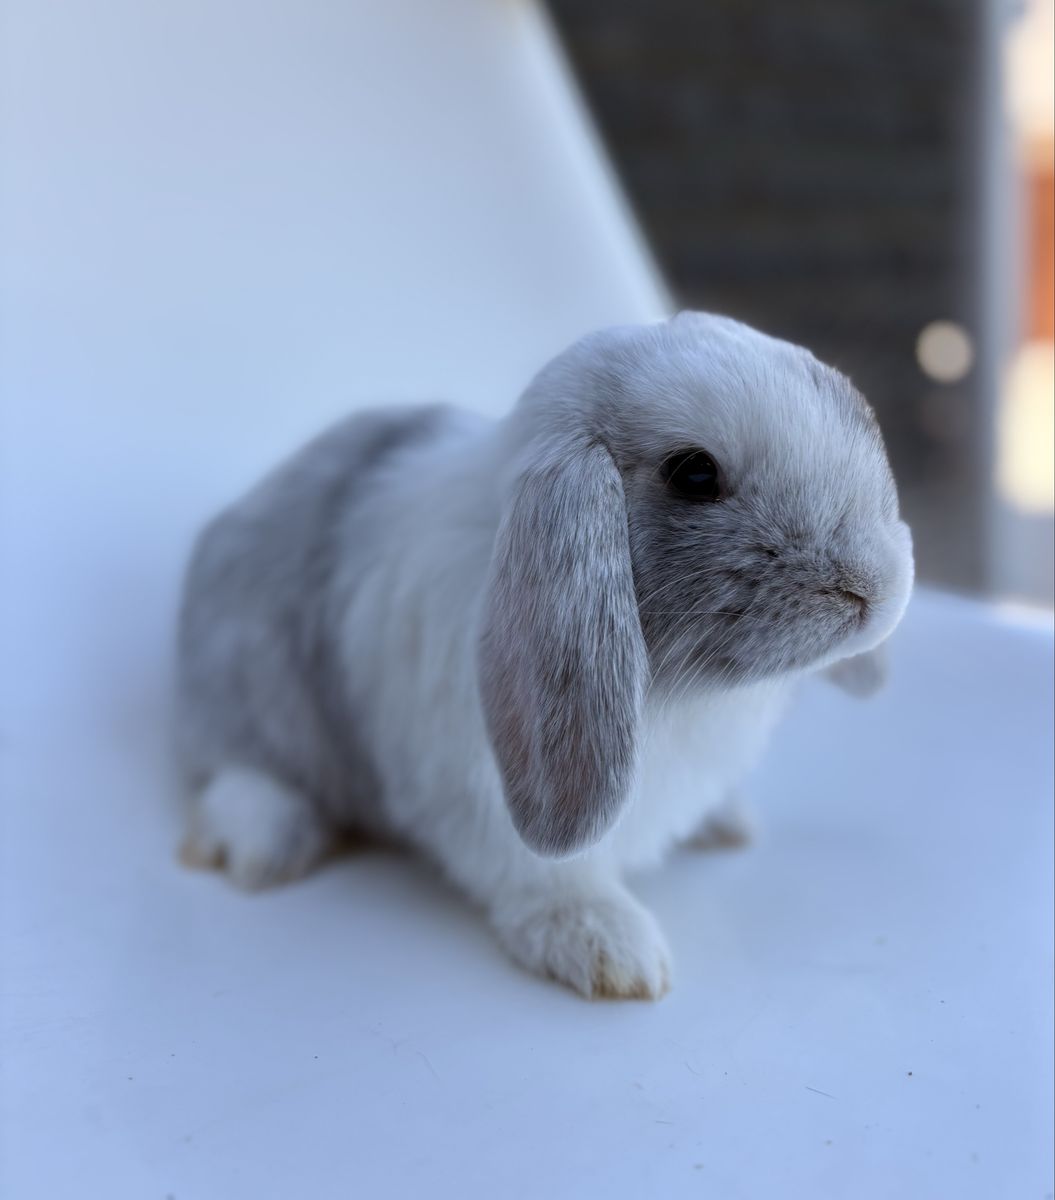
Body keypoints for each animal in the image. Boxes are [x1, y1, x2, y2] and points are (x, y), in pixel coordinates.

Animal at [175, 312, 914, 1000]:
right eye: (694, 473)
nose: (874, 588)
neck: (680, 692)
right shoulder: (478, 794)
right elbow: (547, 876)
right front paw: (610, 950)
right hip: (250, 692)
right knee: (239, 767)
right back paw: (265, 847)